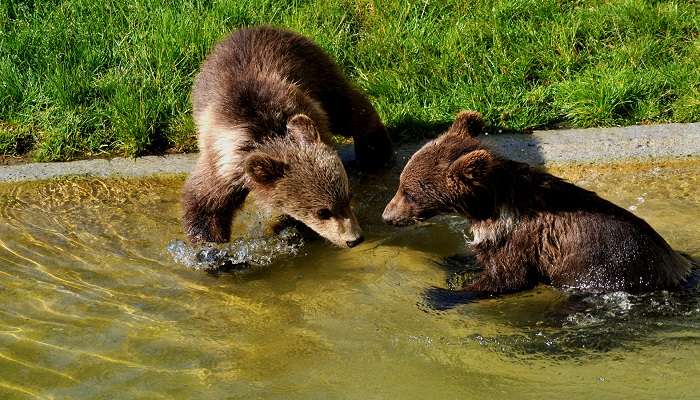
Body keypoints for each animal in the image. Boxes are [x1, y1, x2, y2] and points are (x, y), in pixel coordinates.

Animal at [180, 26, 392, 247]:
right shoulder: (225, 165)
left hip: (315, 71)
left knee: (347, 108)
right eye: (322, 212)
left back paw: (375, 153)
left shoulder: (310, 113)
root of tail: (253, 27)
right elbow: (205, 203)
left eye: (348, 197)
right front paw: (210, 246)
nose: (354, 239)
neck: (267, 135)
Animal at [382, 109, 696, 296]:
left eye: (408, 192)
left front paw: (441, 294)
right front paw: (455, 259)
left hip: (611, 270)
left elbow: (508, 277)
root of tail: (679, 270)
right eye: (401, 185)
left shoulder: (521, 237)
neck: (489, 207)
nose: (386, 216)